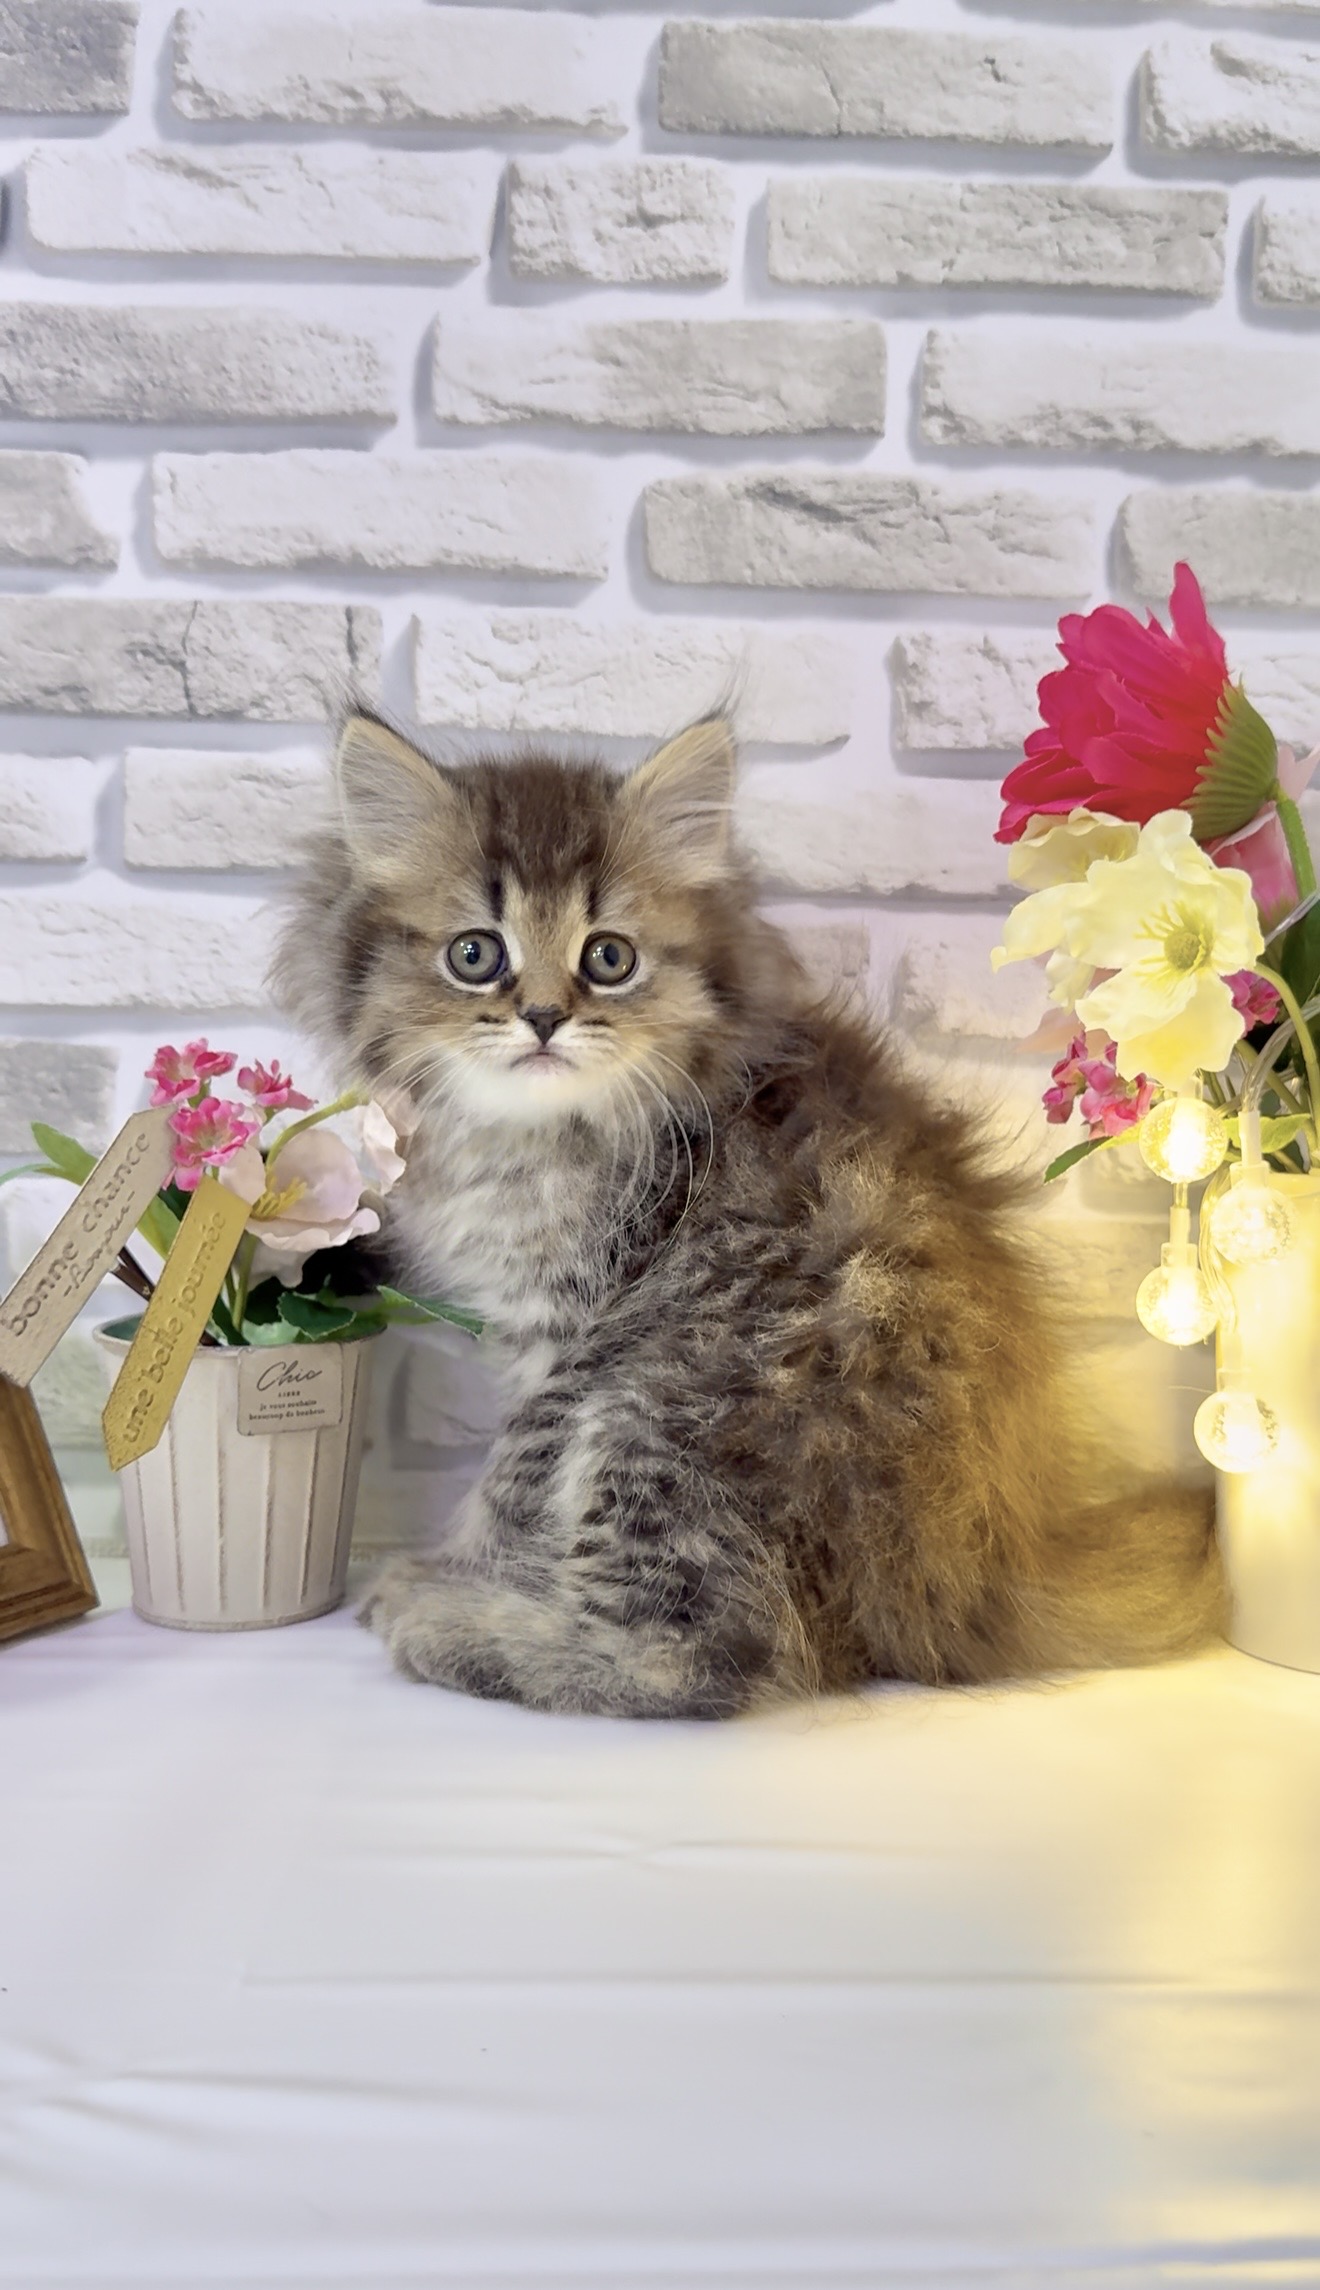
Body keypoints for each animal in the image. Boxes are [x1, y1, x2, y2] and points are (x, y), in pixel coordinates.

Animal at [275, 707, 1225, 1718]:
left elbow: (511, 1484)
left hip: (658, 1409)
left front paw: (459, 1572)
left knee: (703, 1655)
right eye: (474, 954)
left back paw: (463, 1632)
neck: (545, 1132)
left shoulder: (575, 1335)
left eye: (608, 957)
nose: (542, 1017)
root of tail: (970, 1585)